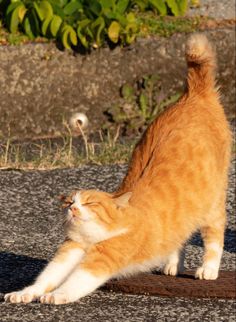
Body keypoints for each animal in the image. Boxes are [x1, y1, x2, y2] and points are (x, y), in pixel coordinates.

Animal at [4, 33, 231, 304]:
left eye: (90, 203)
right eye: (69, 202)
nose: (73, 207)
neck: (96, 237)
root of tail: (193, 94)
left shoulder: (102, 259)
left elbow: (75, 282)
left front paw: (56, 295)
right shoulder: (70, 249)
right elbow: (46, 277)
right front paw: (25, 293)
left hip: (212, 203)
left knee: (214, 235)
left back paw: (208, 269)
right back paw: (173, 264)